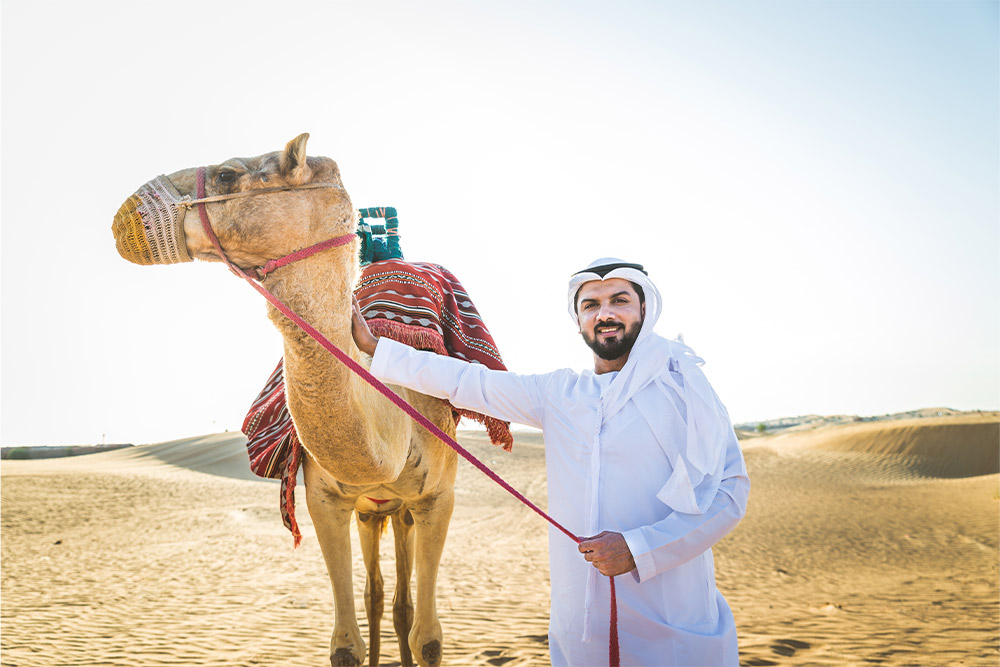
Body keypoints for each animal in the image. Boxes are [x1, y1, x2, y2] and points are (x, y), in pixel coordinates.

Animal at [112, 136, 460, 667]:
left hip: (401, 508)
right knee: (380, 596)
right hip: (371, 510)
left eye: (228, 174)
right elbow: (345, 645)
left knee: (400, 599)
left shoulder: (438, 498)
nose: (126, 216)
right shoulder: (325, 499)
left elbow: (430, 641)